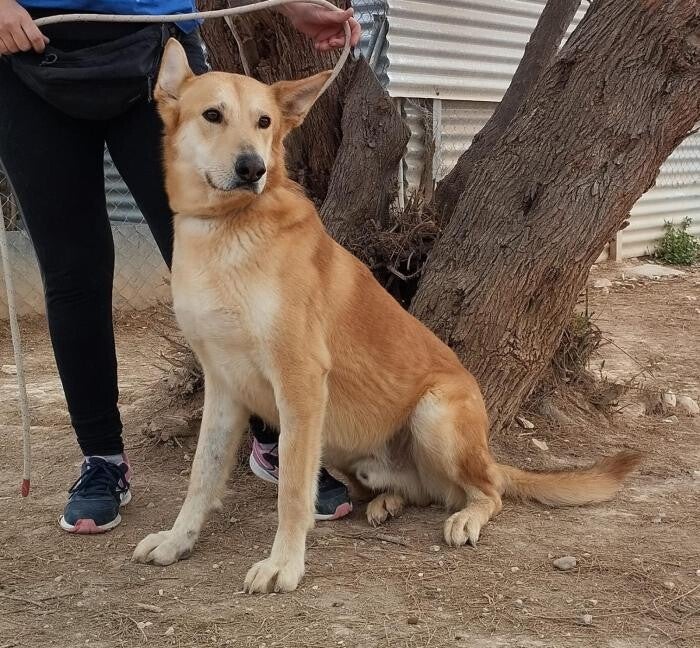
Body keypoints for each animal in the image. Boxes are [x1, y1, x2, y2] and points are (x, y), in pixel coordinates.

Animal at [132, 39, 641, 593]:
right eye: (212, 115)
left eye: (264, 122)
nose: (252, 168)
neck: (226, 230)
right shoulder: (223, 386)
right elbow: (201, 478)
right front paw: (178, 540)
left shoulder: (300, 381)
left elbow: (292, 491)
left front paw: (284, 563)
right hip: (341, 446)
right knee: (420, 491)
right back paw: (389, 503)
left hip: (433, 415)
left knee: (487, 491)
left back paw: (465, 516)